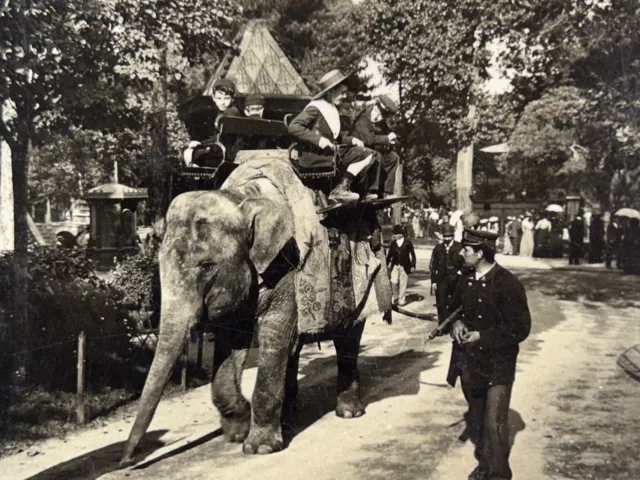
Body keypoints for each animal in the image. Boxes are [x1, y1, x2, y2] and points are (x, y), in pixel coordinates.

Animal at [121, 172, 384, 464]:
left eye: (207, 267)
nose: (126, 462)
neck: (243, 198)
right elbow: (231, 342)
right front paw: (237, 432)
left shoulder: (287, 264)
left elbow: (275, 331)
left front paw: (260, 447)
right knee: (293, 349)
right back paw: (290, 415)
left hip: (364, 284)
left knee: (348, 338)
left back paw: (348, 412)